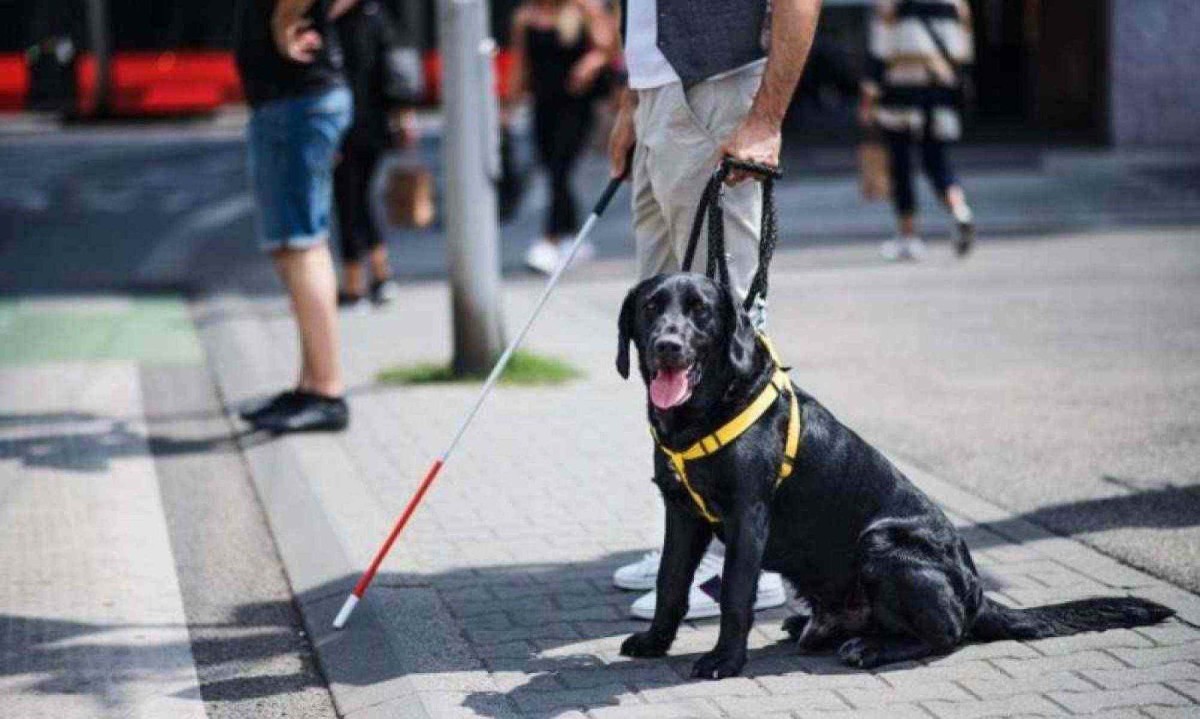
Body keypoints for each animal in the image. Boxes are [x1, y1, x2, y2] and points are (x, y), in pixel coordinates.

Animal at [619, 274, 1171, 681]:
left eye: (700, 310)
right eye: (651, 307)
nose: (667, 346)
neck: (704, 413)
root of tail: (977, 595)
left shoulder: (747, 517)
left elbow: (735, 594)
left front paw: (724, 661)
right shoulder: (681, 513)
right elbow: (670, 582)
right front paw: (654, 642)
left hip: (882, 542)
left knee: (948, 634)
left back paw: (870, 647)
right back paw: (814, 626)